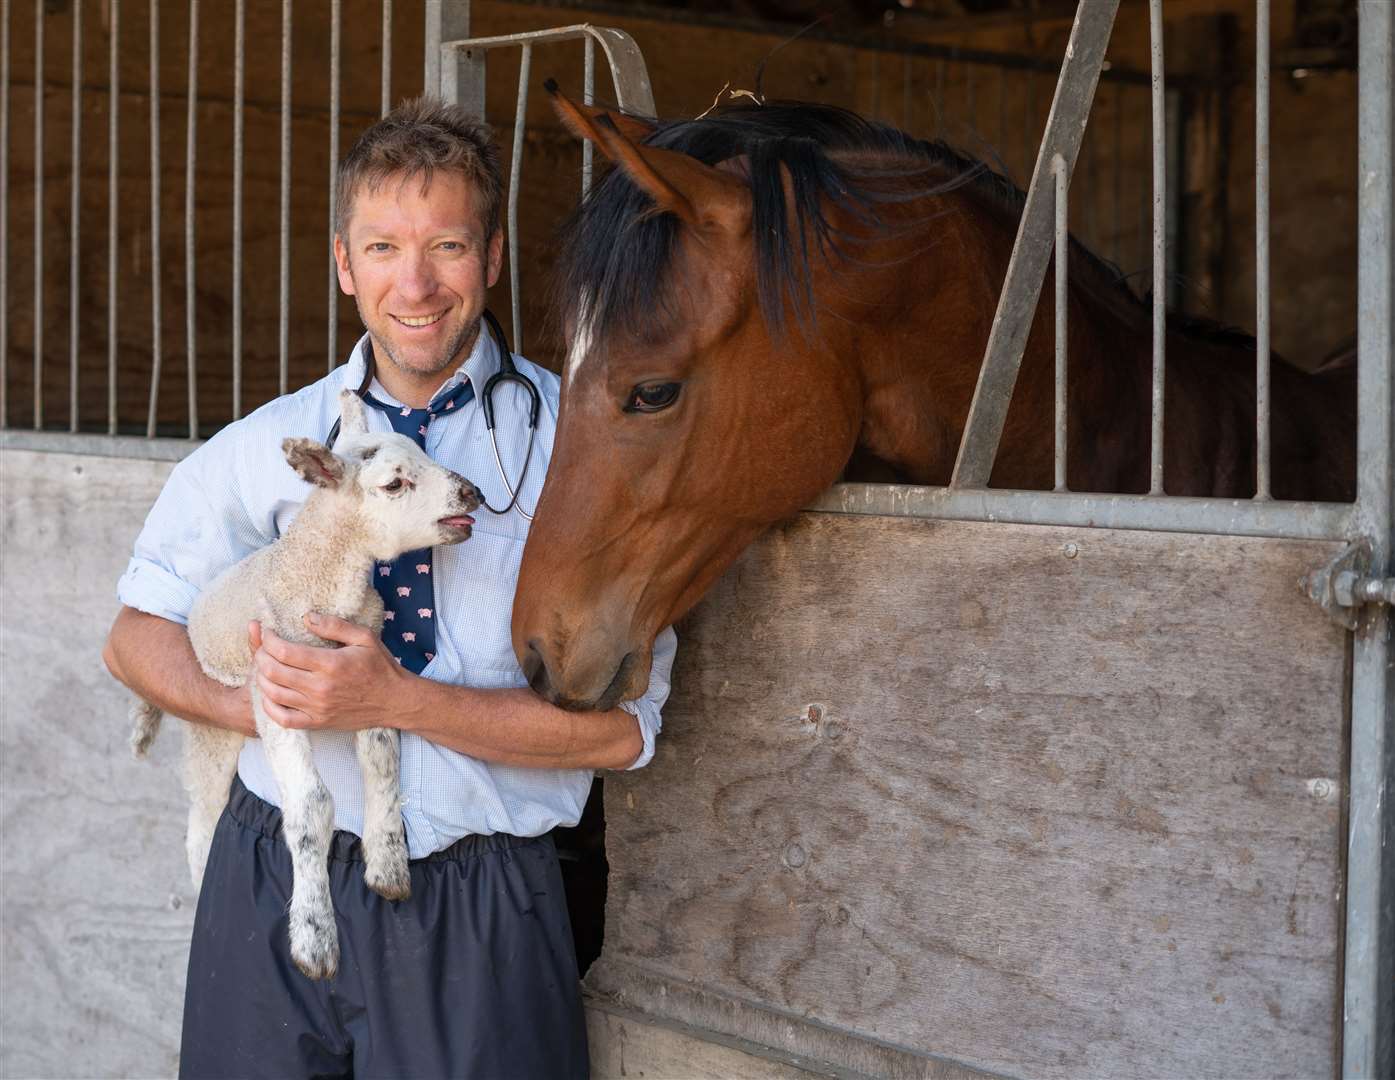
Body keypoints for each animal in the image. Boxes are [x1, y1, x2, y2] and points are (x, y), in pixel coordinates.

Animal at [129, 387, 485, 982]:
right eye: (394, 483)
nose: (473, 493)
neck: (319, 583)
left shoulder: (368, 680)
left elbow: (383, 761)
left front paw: (388, 867)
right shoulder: (273, 692)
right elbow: (312, 806)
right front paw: (315, 938)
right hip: (210, 734)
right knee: (201, 817)